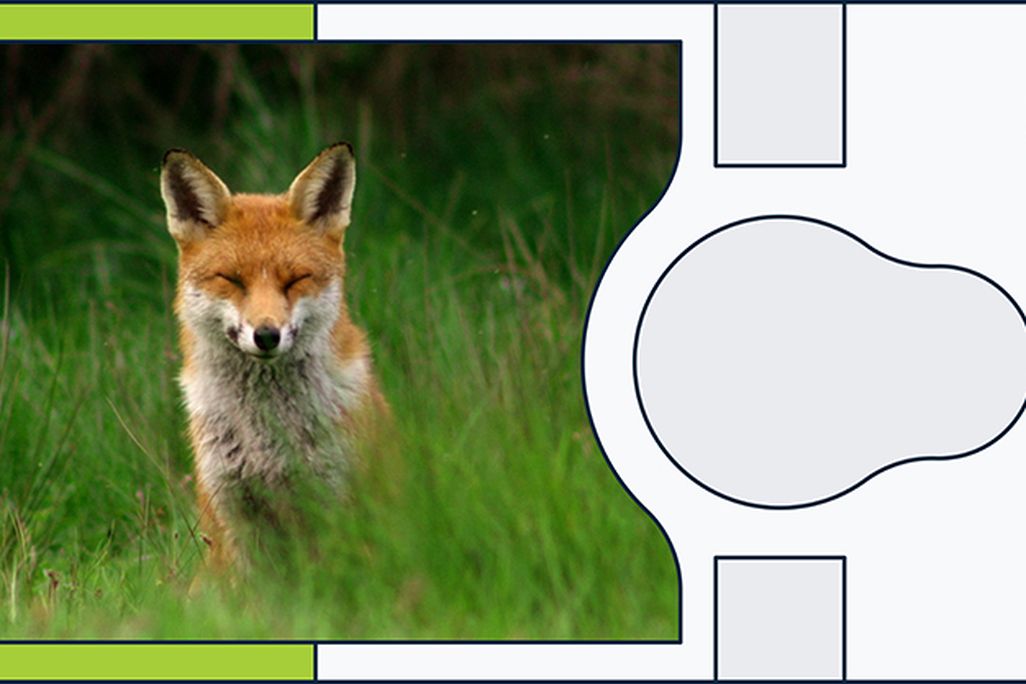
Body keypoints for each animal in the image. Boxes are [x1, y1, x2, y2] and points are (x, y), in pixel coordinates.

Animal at [160, 142, 385, 573]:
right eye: (231, 279)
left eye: (296, 280)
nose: (266, 335)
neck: (266, 436)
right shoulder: (232, 514)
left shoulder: (334, 500)